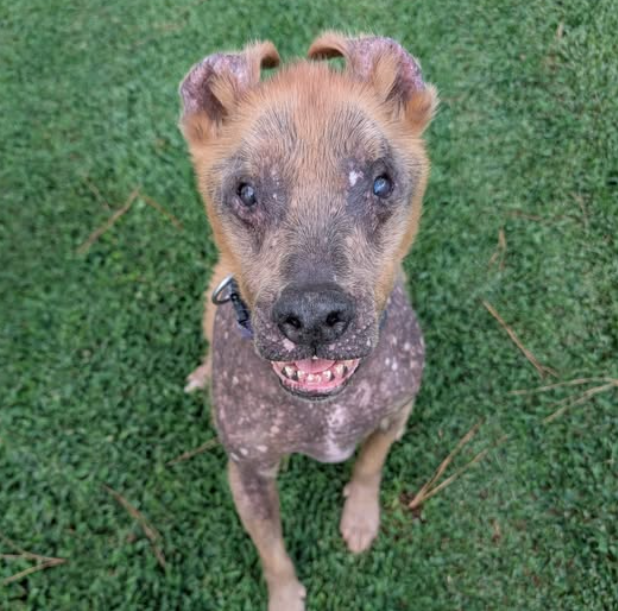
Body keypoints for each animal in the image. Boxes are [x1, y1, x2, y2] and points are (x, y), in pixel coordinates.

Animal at [179, 32, 437, 611]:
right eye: (246, 191)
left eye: (381, 183)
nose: (314, 318)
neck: (324, 409)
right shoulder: (248, 472)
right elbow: (272, 551)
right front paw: (285, 595)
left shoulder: (394, 414)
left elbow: (369, 466)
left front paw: (360, 518)